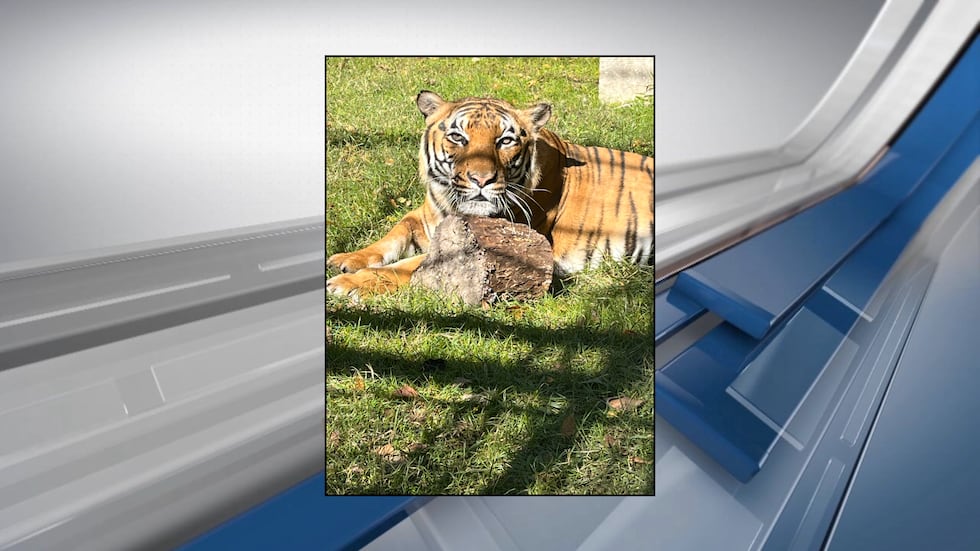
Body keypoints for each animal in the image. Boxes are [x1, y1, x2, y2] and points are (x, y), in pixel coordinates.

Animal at [327, 90, 654, 299]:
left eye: (505, 141)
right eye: (457, 136)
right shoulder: (424, 216)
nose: (481, 179)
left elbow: (412, 264)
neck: (450, 204)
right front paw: (346, 259)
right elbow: (393, 235)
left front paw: (348, 283)